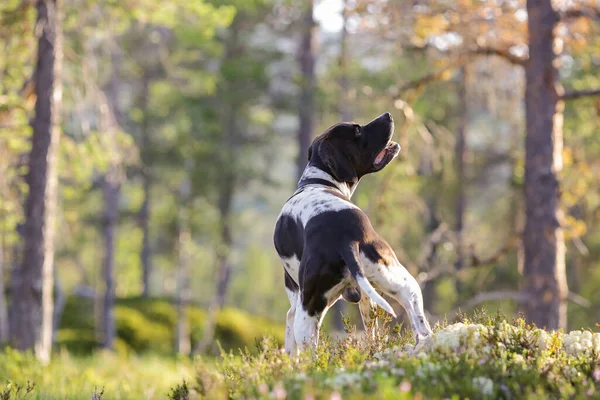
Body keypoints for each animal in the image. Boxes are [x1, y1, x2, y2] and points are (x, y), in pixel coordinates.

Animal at [274, 112, 434, 354]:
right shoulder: (367, 299)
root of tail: (343, 239)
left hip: (307, 315)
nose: (387, 115)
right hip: (405, 284)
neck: (317, 181)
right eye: (357, 130)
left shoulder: (297, 306)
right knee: (421, 327)